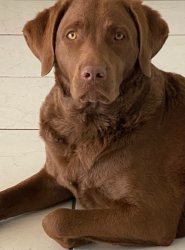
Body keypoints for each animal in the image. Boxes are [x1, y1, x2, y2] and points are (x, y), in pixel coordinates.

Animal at [0, 0, 185, 248]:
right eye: (71, 35)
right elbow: (11, 195)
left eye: (119, 35)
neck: (87, 126)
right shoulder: (53, 175)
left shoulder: (154, 216)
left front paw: (75, 238)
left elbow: (57, 218)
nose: (94, 73)